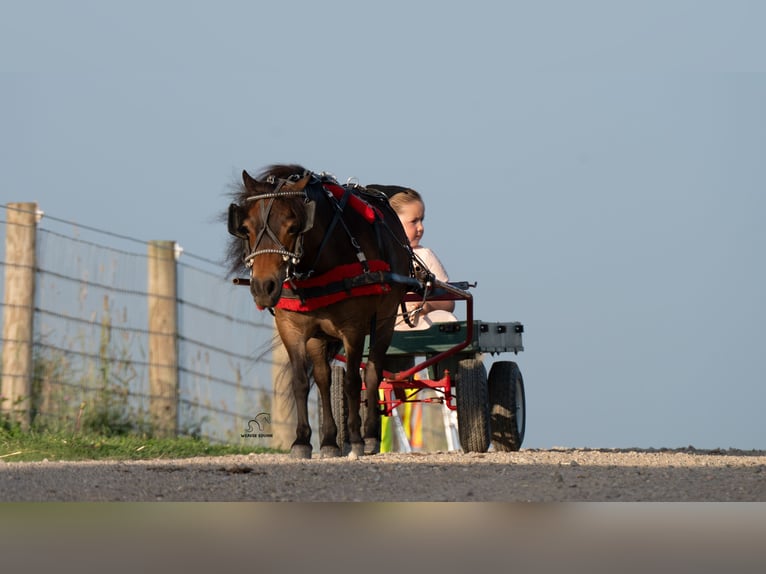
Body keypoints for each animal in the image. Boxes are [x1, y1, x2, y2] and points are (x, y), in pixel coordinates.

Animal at [225, 164, 417, 458]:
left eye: (294, 227)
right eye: (245, 228)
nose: (263, 287)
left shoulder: (353, 328)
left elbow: (352, 382)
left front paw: (356, 439)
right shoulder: (291, 330)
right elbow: (302, 382)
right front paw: (304, 440)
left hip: (384, 320)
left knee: (372, 373)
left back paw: (368, 435)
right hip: (319, 337)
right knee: (324, 379)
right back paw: (330, 439)